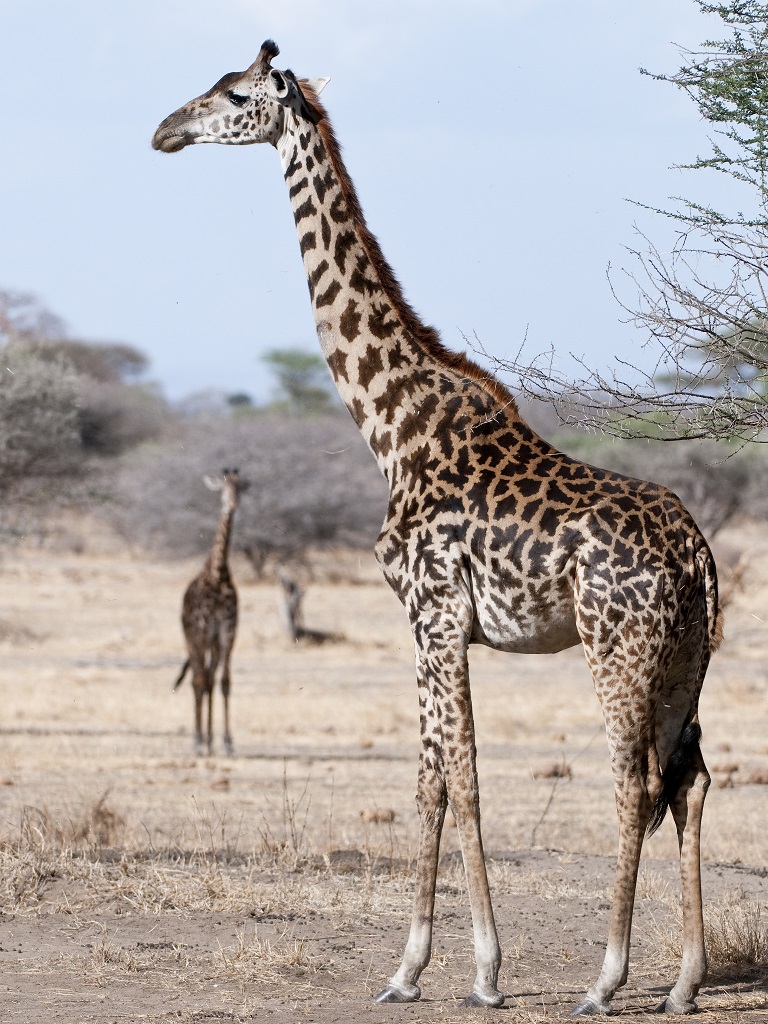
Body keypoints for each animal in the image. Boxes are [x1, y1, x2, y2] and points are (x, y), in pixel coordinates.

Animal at [153, 44, 722, 1014]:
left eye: (232, 94)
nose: (164, 131)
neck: (391, 426)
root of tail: (696, 553)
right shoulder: (428, 623)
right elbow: (432, 781)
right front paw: (414, 969)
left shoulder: (435, 613)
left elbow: (459, 776)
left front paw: (476, 973)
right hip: (686, 657)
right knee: (690, 778)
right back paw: (683, 983)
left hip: (617, 647)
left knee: (633, 779)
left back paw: (606, 980)